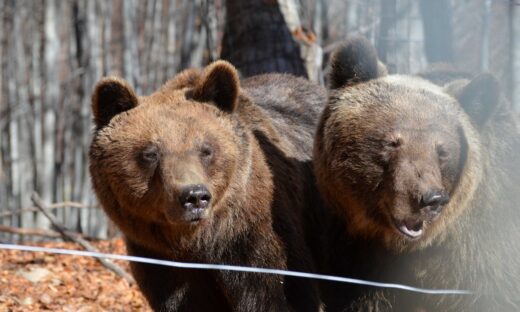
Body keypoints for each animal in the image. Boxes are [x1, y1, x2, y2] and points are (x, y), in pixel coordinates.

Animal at [88, 61, 324, 312]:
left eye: (206, 149)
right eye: (151, 153)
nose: (194, 196)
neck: (202, 240)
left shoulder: (256, 242)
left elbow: (279, 295)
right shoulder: (162, 263)